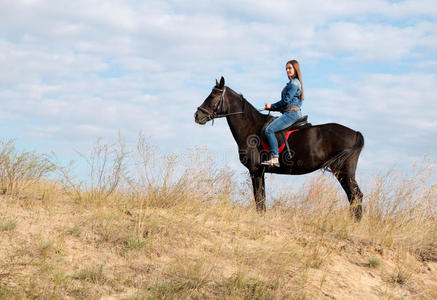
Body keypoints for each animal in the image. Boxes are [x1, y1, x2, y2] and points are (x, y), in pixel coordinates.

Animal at [192, 76, 362, 219]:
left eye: (213, 96)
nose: (197, 115)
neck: (251, 127)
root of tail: (355, 133)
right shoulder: (260, 172)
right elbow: (262, 199)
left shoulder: (255, 171)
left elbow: (259, 199)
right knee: (353, 197)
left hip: (344, 171)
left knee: (356, 196)